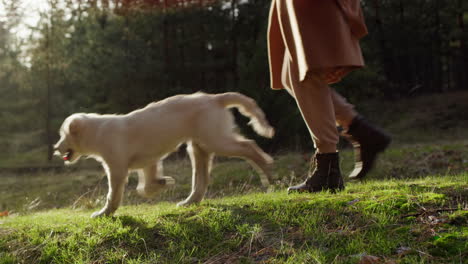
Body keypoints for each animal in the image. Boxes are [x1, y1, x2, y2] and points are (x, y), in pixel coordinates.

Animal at [54, 92, 274, 218]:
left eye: (63, 135)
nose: (56, 148)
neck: (98, 131)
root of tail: (214, 97)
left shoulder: (116, 169)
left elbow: (113, 195)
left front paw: (103, 213)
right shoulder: (148, 161)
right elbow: (144, 187)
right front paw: (163, 182)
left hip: (215, 139)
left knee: (249, 145)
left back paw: (267, 172)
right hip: (199, 146)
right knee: (201, 181)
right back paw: (189, 202)